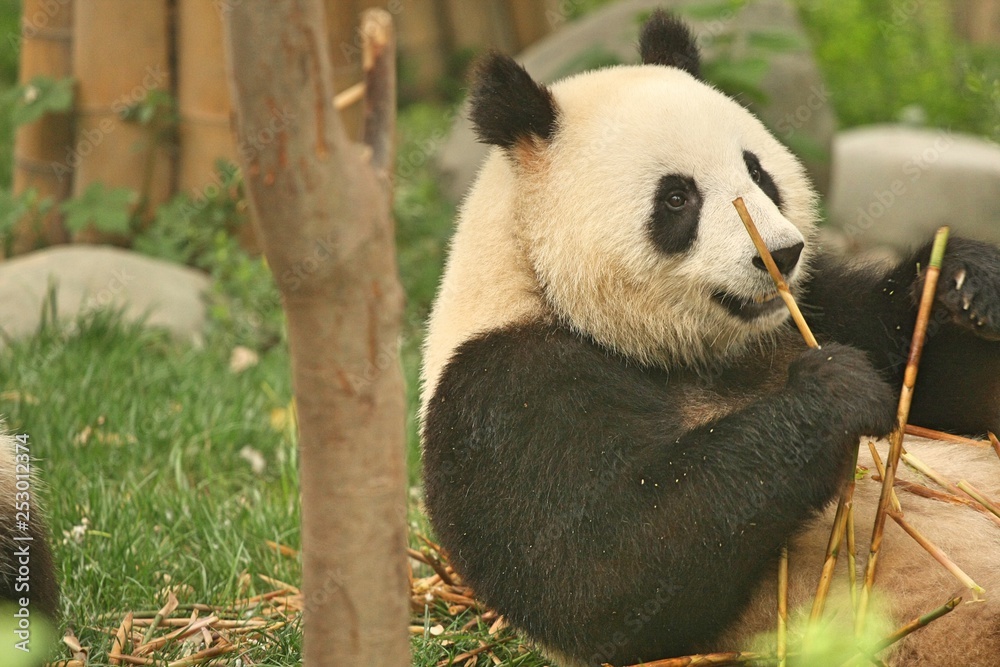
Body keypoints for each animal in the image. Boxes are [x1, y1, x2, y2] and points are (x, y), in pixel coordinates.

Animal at [420, 10, 1000, 667]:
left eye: (758, 172)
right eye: (678, 197)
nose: (782, 253)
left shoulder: (815, 307)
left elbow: (950, 393)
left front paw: (965, 282)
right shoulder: (502, 390)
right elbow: (605, 572)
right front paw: (836, 393)